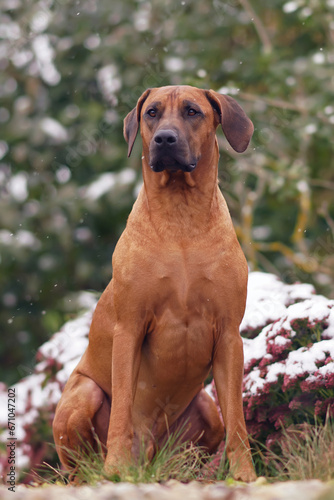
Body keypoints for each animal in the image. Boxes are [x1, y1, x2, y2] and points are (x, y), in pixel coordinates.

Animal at [52, 84, 256, 482]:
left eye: (193, 111)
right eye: (152, 113)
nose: (164, 139)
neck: (181, 217)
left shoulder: (228, 335)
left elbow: (238, 422)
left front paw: (245, 476)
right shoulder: (129, 327)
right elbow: (121, 413)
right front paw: (116, 469)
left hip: (206, 409)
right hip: (84, 393)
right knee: (80, 463)